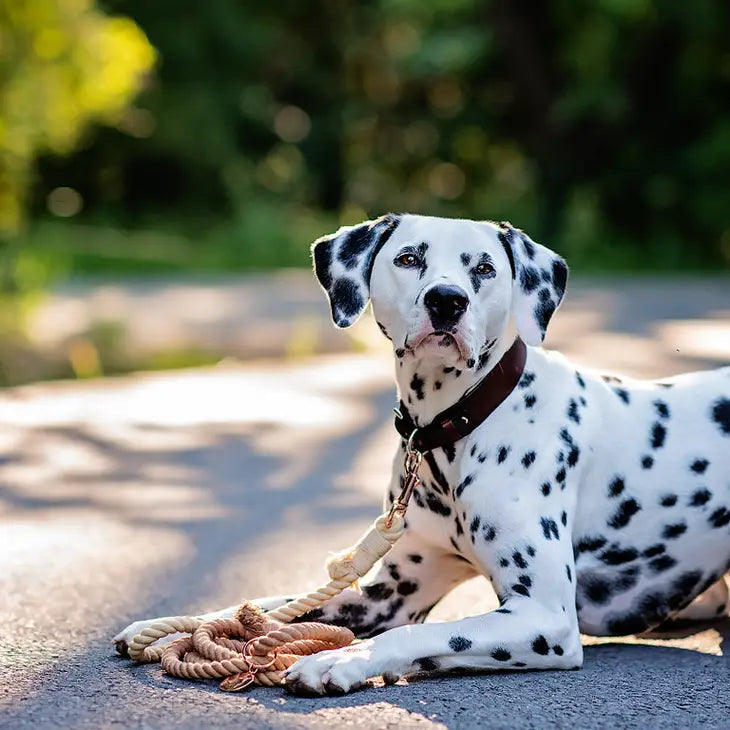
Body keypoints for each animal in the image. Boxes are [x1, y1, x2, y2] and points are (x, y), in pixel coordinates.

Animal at [115, 212, 728, 692]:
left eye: (484, 269)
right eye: (409, 258)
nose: (446, 301)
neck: (454, 430)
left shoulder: (544, 617)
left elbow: (426, 632)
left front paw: (342, 660)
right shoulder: (387, 593)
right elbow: (269, 604)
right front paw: (175, 624)